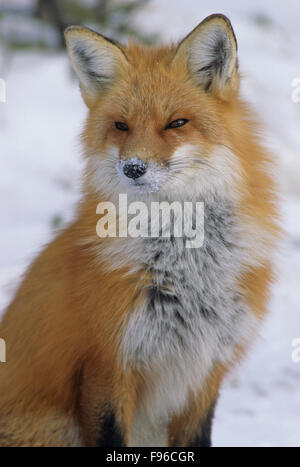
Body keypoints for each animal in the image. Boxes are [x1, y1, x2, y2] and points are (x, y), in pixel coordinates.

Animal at [0, 13, 278, 446]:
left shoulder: (205, 372)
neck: (187, 271)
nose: (133, 168)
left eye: (176, 123)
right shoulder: (107, 365)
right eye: (121, 126)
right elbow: (110, 435)